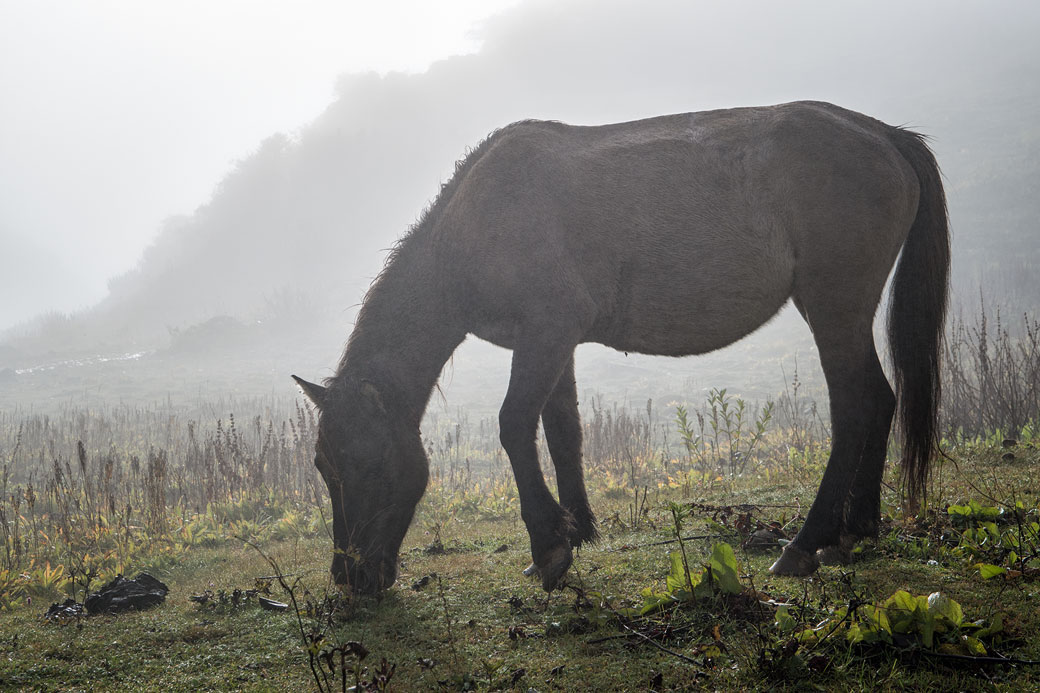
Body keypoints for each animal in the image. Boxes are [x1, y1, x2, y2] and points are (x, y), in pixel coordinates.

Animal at [295, 99, 952, 591]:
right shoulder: (551, 343)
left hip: (834, 307)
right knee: (880, 399)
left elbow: (514, 426)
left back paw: (806, 542)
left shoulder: (547, 332)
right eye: (322, 466)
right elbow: (562, 431)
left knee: (856, 408)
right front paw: (577, 529)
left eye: (360, 464)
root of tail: (884, 134)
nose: (350, 578)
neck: (474, 227)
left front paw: (548, 547)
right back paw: (856, 528)